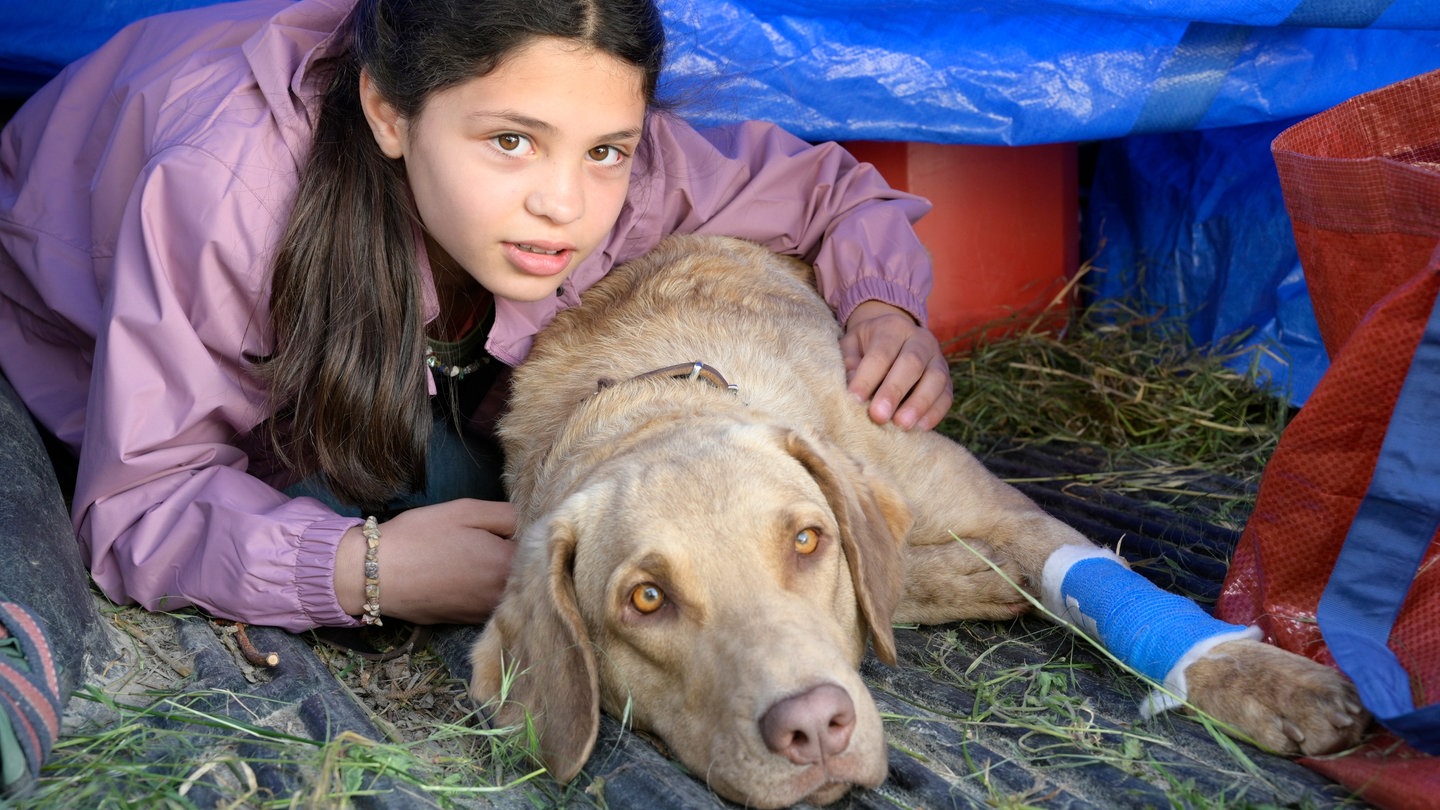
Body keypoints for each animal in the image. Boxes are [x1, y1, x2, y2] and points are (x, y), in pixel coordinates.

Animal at [475, 232, 1370, 801]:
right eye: (646, 599)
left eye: (807, 541)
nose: (814, 728)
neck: (652, 395)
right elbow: (912, 577)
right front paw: (967, 578)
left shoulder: (1003, 507)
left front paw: (1270, 680)